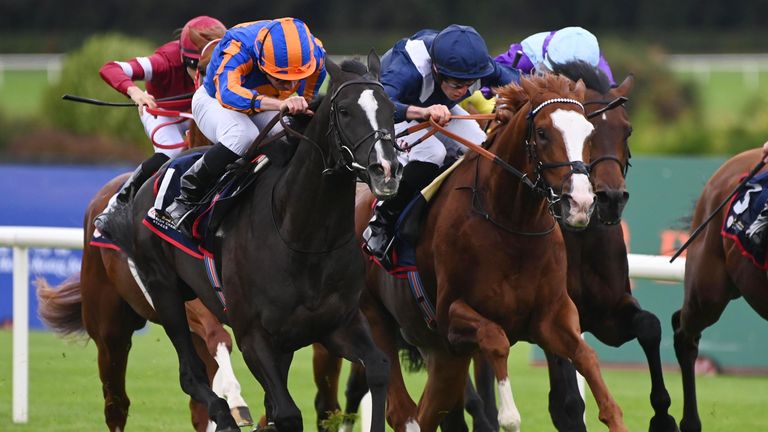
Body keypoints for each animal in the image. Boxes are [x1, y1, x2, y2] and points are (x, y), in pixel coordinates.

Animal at [36, 120, 252, 432]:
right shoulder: (182, 298)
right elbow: (219, 336)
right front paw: (236, 400)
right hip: (109, 329)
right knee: (116, 403)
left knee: (196, 406)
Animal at [103, 54, 402, 432]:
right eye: (345, 110)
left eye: (391, 109)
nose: (386, 170)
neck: (303, 238)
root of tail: (153, 174)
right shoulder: (254, 336)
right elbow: (286, 413)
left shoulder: (338, 324)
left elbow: (377, 368)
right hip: (164, 289)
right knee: (190, 373)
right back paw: (225, 415)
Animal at [356, 75, 632, 432]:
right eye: (542, 133)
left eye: (588, 132)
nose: (582, 202)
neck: (512, 225)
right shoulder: (453, 316)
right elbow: (496, 339)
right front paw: (509, 414)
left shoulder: (552, 315)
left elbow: (587, 358)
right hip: (378, 322)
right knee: (403, 412)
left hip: (441, 354)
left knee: (430, 409)